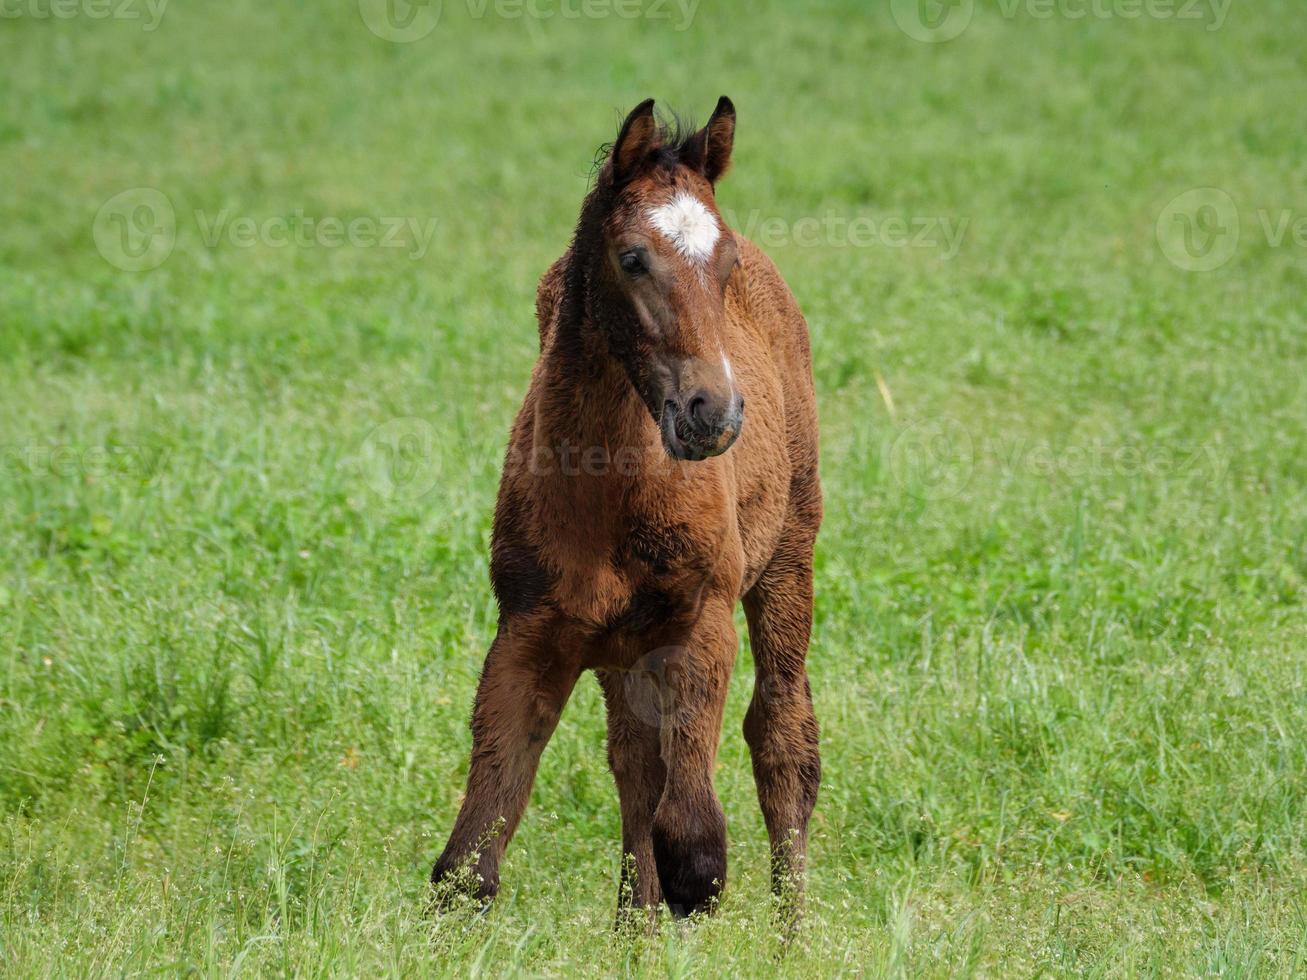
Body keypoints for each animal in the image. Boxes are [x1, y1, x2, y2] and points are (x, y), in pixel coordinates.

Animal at [433, 96, 820, 925]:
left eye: (725, 264)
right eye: (633, 258)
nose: (713, 414)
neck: (605, 491)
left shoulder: (699, 623)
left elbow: (695, 851)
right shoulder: (529, 632)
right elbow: (467, 864)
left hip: (787, 557)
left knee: (781, 741)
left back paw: (794, 936)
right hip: (618, 642)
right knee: (634, 761)